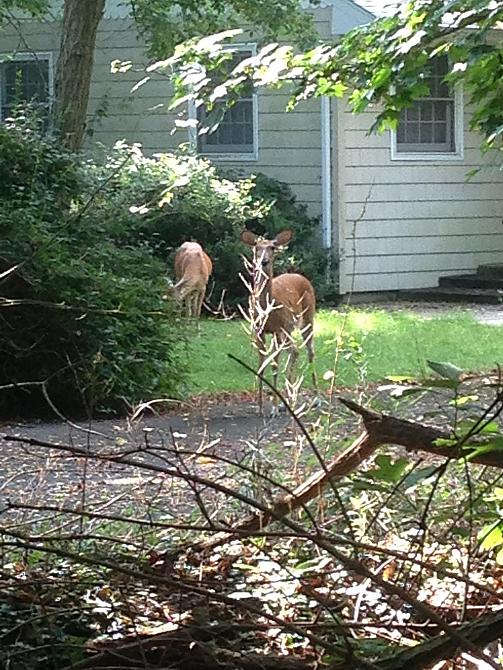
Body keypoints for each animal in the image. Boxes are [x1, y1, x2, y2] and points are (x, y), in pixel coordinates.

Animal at [239, 228, 316, 406]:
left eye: (272, 247)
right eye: (256, 247)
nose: (264, 261)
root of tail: (301, 276)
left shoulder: (279, 328)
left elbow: (274, 365)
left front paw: (273, 406)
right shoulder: (260, 330)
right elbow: (262, 365)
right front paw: (260, 406)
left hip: (307, 318)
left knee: (308, 351)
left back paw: (316, 398)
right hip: (288, 330)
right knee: (294, 353)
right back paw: (288, 400)